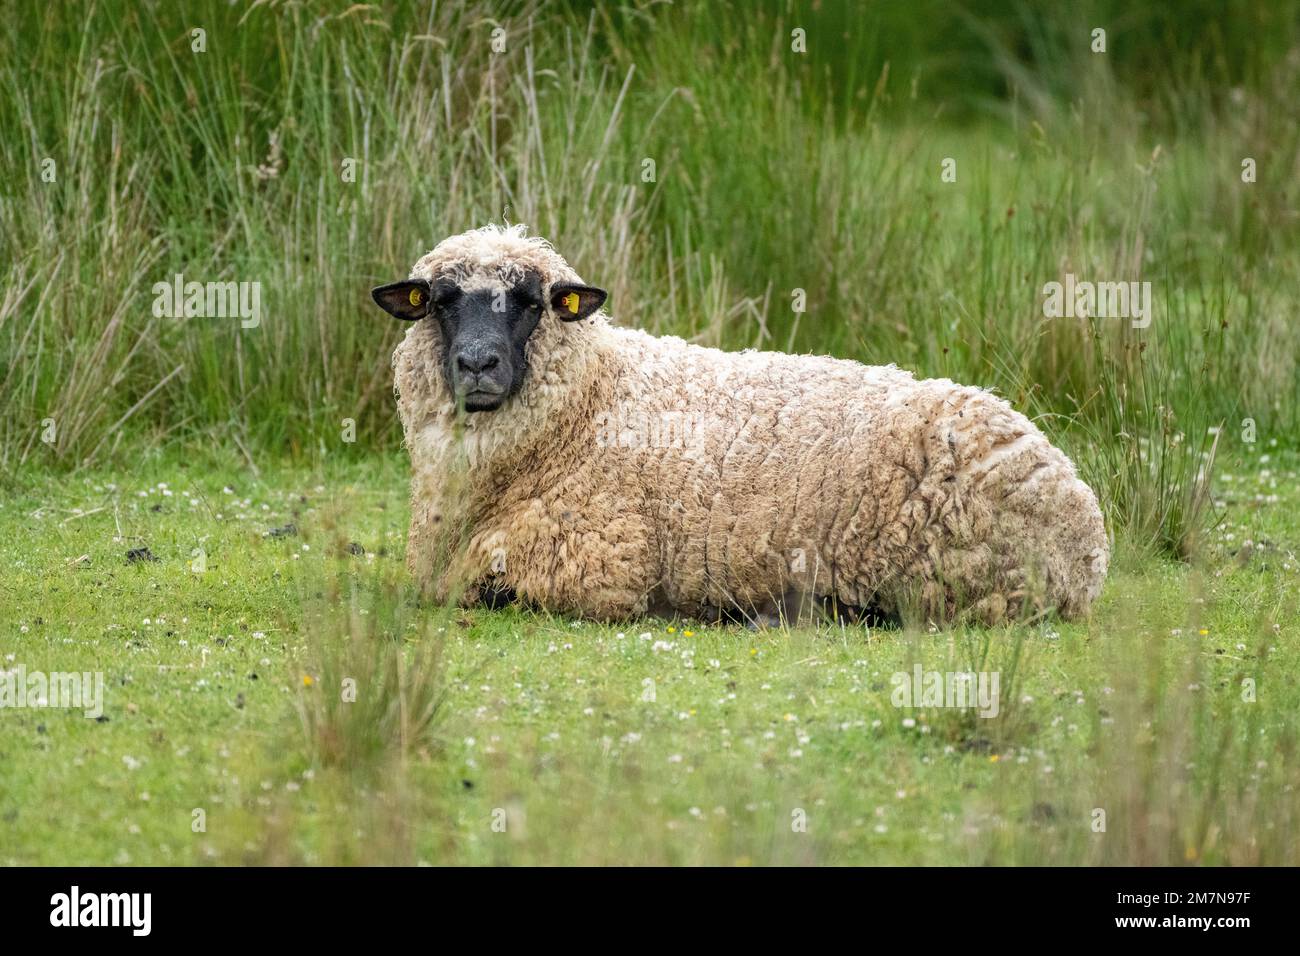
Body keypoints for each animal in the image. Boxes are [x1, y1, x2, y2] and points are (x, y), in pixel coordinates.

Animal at [374, 225, 1107, 629]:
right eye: (439, 301)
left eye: (530, 302)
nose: (477, 365)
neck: (593, 398)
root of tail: (1089, 536)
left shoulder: (598, 568)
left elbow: (489, 590)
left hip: (950, 576)